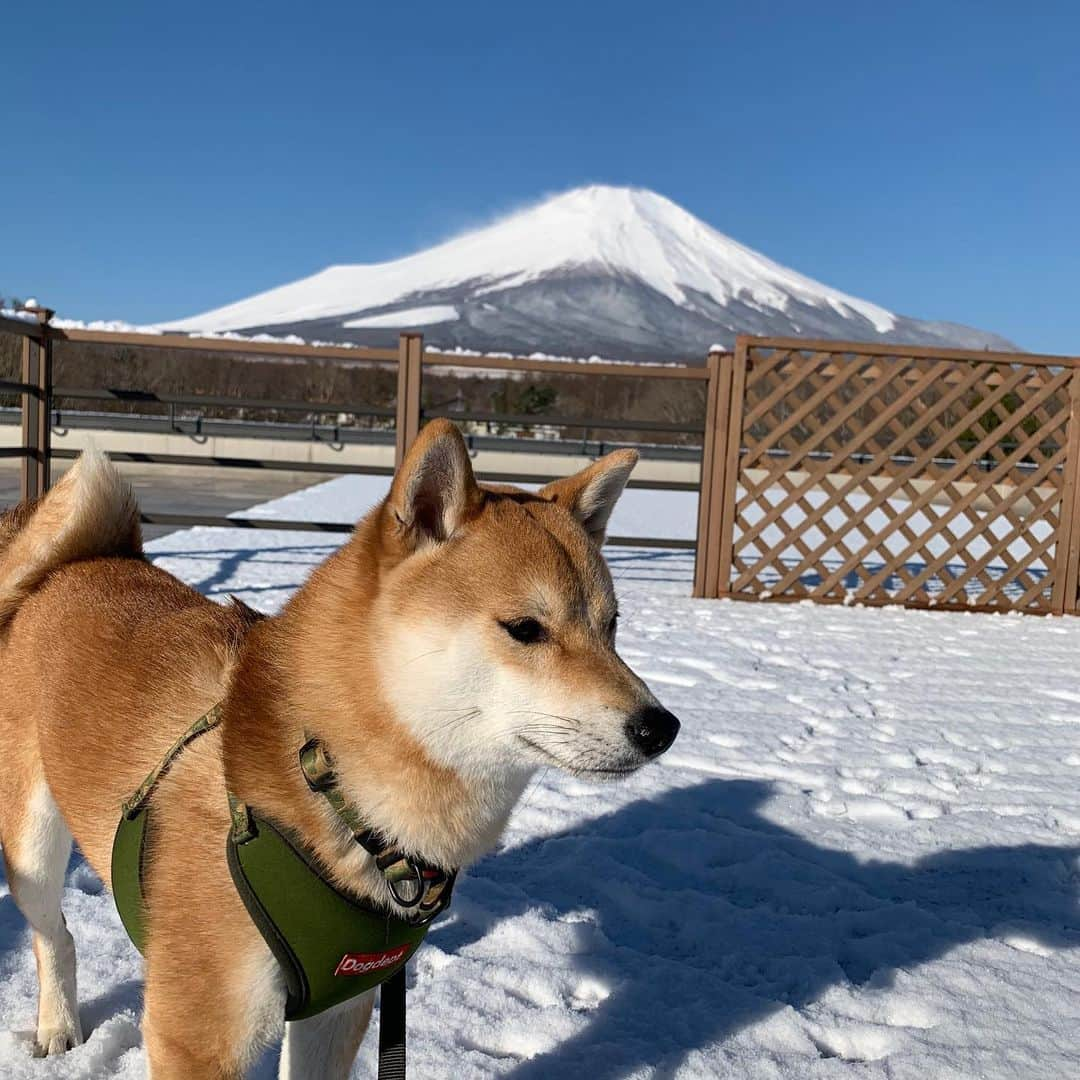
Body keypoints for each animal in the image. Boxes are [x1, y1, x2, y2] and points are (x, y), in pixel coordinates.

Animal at [0, 423, 678, 1080]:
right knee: (54, 935)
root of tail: (80, 563)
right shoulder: (198, 1037)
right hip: (33, 849)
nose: (661, 727)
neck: (329, 785)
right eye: (525, 629)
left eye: (611, 626)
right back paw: (59, 1026)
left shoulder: (337, 1008)